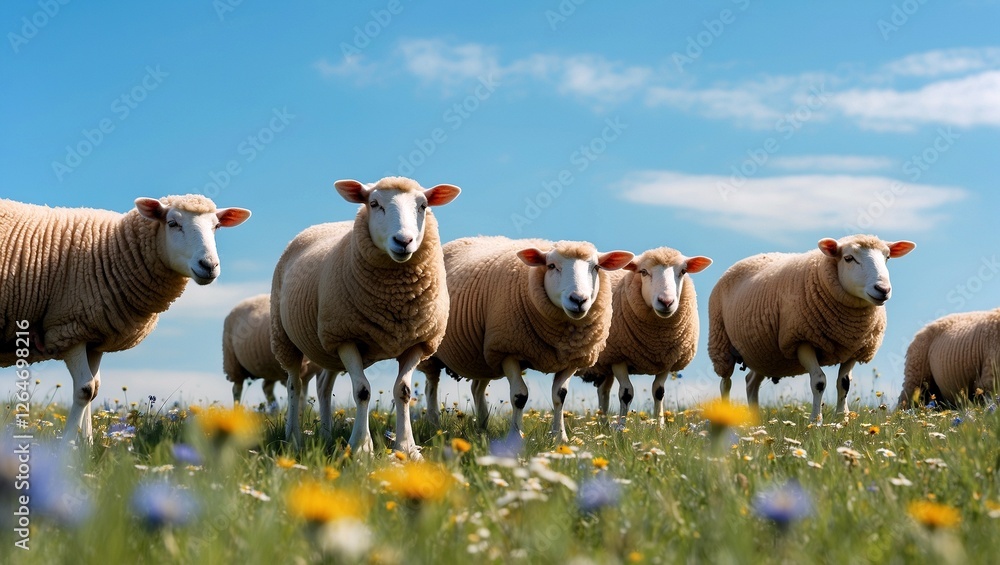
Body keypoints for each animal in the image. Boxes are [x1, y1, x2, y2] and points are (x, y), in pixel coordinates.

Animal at [0, 195, 251, 443]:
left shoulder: (94, 337)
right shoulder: (68, 328)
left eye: (216, 226)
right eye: (172, 223)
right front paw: (67, 447)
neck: (110, 249)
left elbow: (94, 390)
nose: (209, 266)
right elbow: (85, 390)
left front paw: (87, 446)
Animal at [270, 176, 460, 456]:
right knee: (294, 384)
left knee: (323, 386)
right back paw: (293, 438)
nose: (403, 240)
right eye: (374, 203)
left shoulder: (418, 341)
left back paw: (326, 435)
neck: (396, 297)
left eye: (423, 206)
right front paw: (361, 447)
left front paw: (407, 448)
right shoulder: (346, 337)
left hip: (327, 346)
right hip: (286, 336)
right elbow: (362, 391)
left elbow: (403, 391)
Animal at [419, 236, 633, 441]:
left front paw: (560, 437)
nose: (578, 300)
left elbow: (560, 396)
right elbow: (519, 396)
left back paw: (483, 425)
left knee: (476, 388)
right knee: (431, 386)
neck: (561, 337)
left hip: (483, 358)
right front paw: (516, 437)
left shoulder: (572, 358)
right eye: (551, 266)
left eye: (596, 267)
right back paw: (434, 425)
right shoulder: (508, 350)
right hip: (433, 351)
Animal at [578, 247, 712, 427]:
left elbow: (659, 392)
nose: (666, 302)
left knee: (603, 392)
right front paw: (621, 428)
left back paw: (603, 424)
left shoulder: (666, 361)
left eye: (683, 271)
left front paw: (660, 427)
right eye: (643, 272)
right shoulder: (618, 357)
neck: (656, 340)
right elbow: (626, 393)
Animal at [708, 235, 915, 422]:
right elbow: (819, 382)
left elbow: (844, 384)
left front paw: (842, 419)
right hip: (721, 344)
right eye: (849, 258)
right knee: (725, 384)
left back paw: (754, 421)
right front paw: (816, 421)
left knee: (751, 382)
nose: (883, 290)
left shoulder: (855, 348)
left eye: (887, 257)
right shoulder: (801, 340)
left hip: (763, 353)